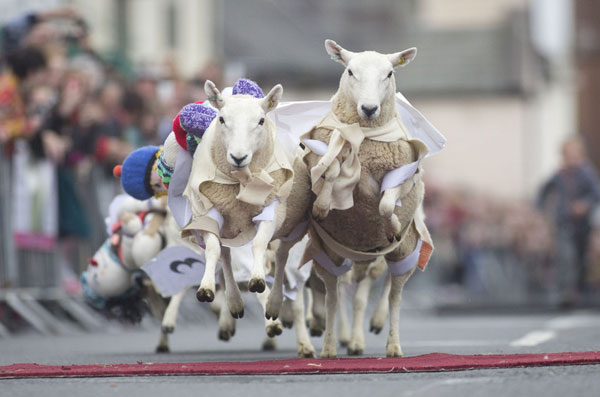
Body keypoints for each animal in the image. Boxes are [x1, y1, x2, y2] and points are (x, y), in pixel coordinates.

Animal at [300, 39, 436, 356]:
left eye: (389, 73)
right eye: (350, 71)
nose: (370, 108)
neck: (361, 137)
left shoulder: (399, 171)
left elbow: (386, 204)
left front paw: (391, 225)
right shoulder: (327, 153)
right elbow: (328, 174)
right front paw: (322, 206)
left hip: (403, 248)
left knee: (393, 292)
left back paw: (390, 341)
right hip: (330, 252)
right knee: (332, 295)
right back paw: (329, 346)